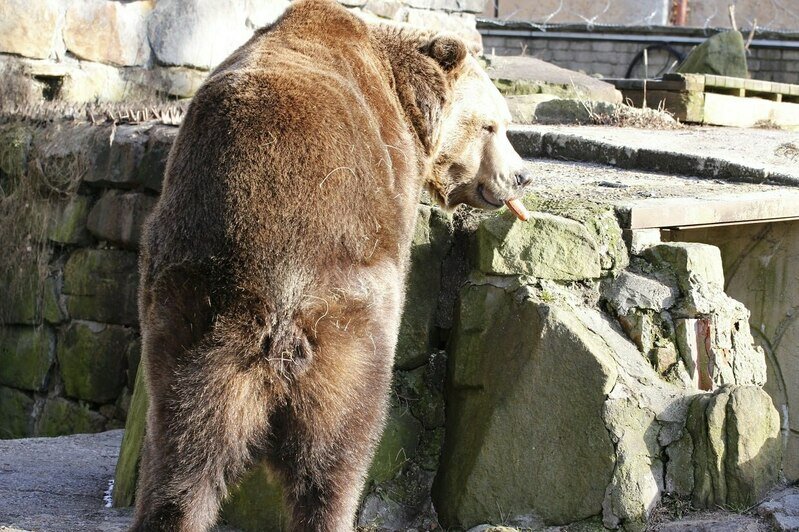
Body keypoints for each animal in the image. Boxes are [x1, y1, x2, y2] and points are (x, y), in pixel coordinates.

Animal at [130, 1, 532, 532]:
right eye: (494, 126)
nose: (522, 175)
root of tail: (273, 298)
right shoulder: (393, 171)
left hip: (189, 316)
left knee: (181, 453)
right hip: (342, 320)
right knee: (337, 450)